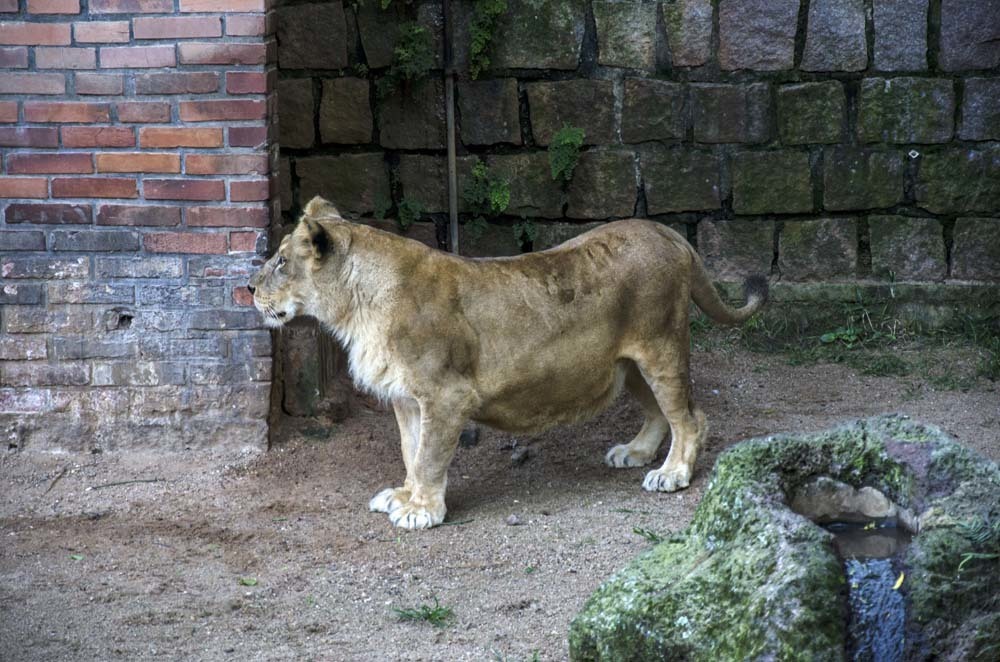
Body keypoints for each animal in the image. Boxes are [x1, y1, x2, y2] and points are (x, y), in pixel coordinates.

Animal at [249, 196, 768, 529]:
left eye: (281, 261)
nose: (249, 288)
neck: (357, 305)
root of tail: (670, 233)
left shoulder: (447, 395)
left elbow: (430, 456)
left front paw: (422, 511)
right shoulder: (408, 398)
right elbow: (410, 451)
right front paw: (404, 495)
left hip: (660, 346)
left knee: (690, 417)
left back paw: (672, 473)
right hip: (629, 362)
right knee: (661, 412)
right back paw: (636, 452)